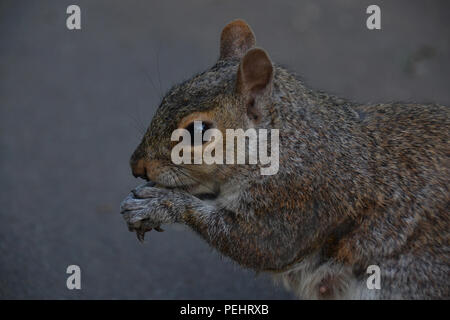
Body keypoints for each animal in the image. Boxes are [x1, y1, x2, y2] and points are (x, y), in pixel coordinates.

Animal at [120, 19, 450, 300]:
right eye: (168, 96)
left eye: (197, 131)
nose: (137, 166)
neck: (283, 142)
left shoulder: (297, 198)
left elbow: (261, 245)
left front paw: (159, 205)